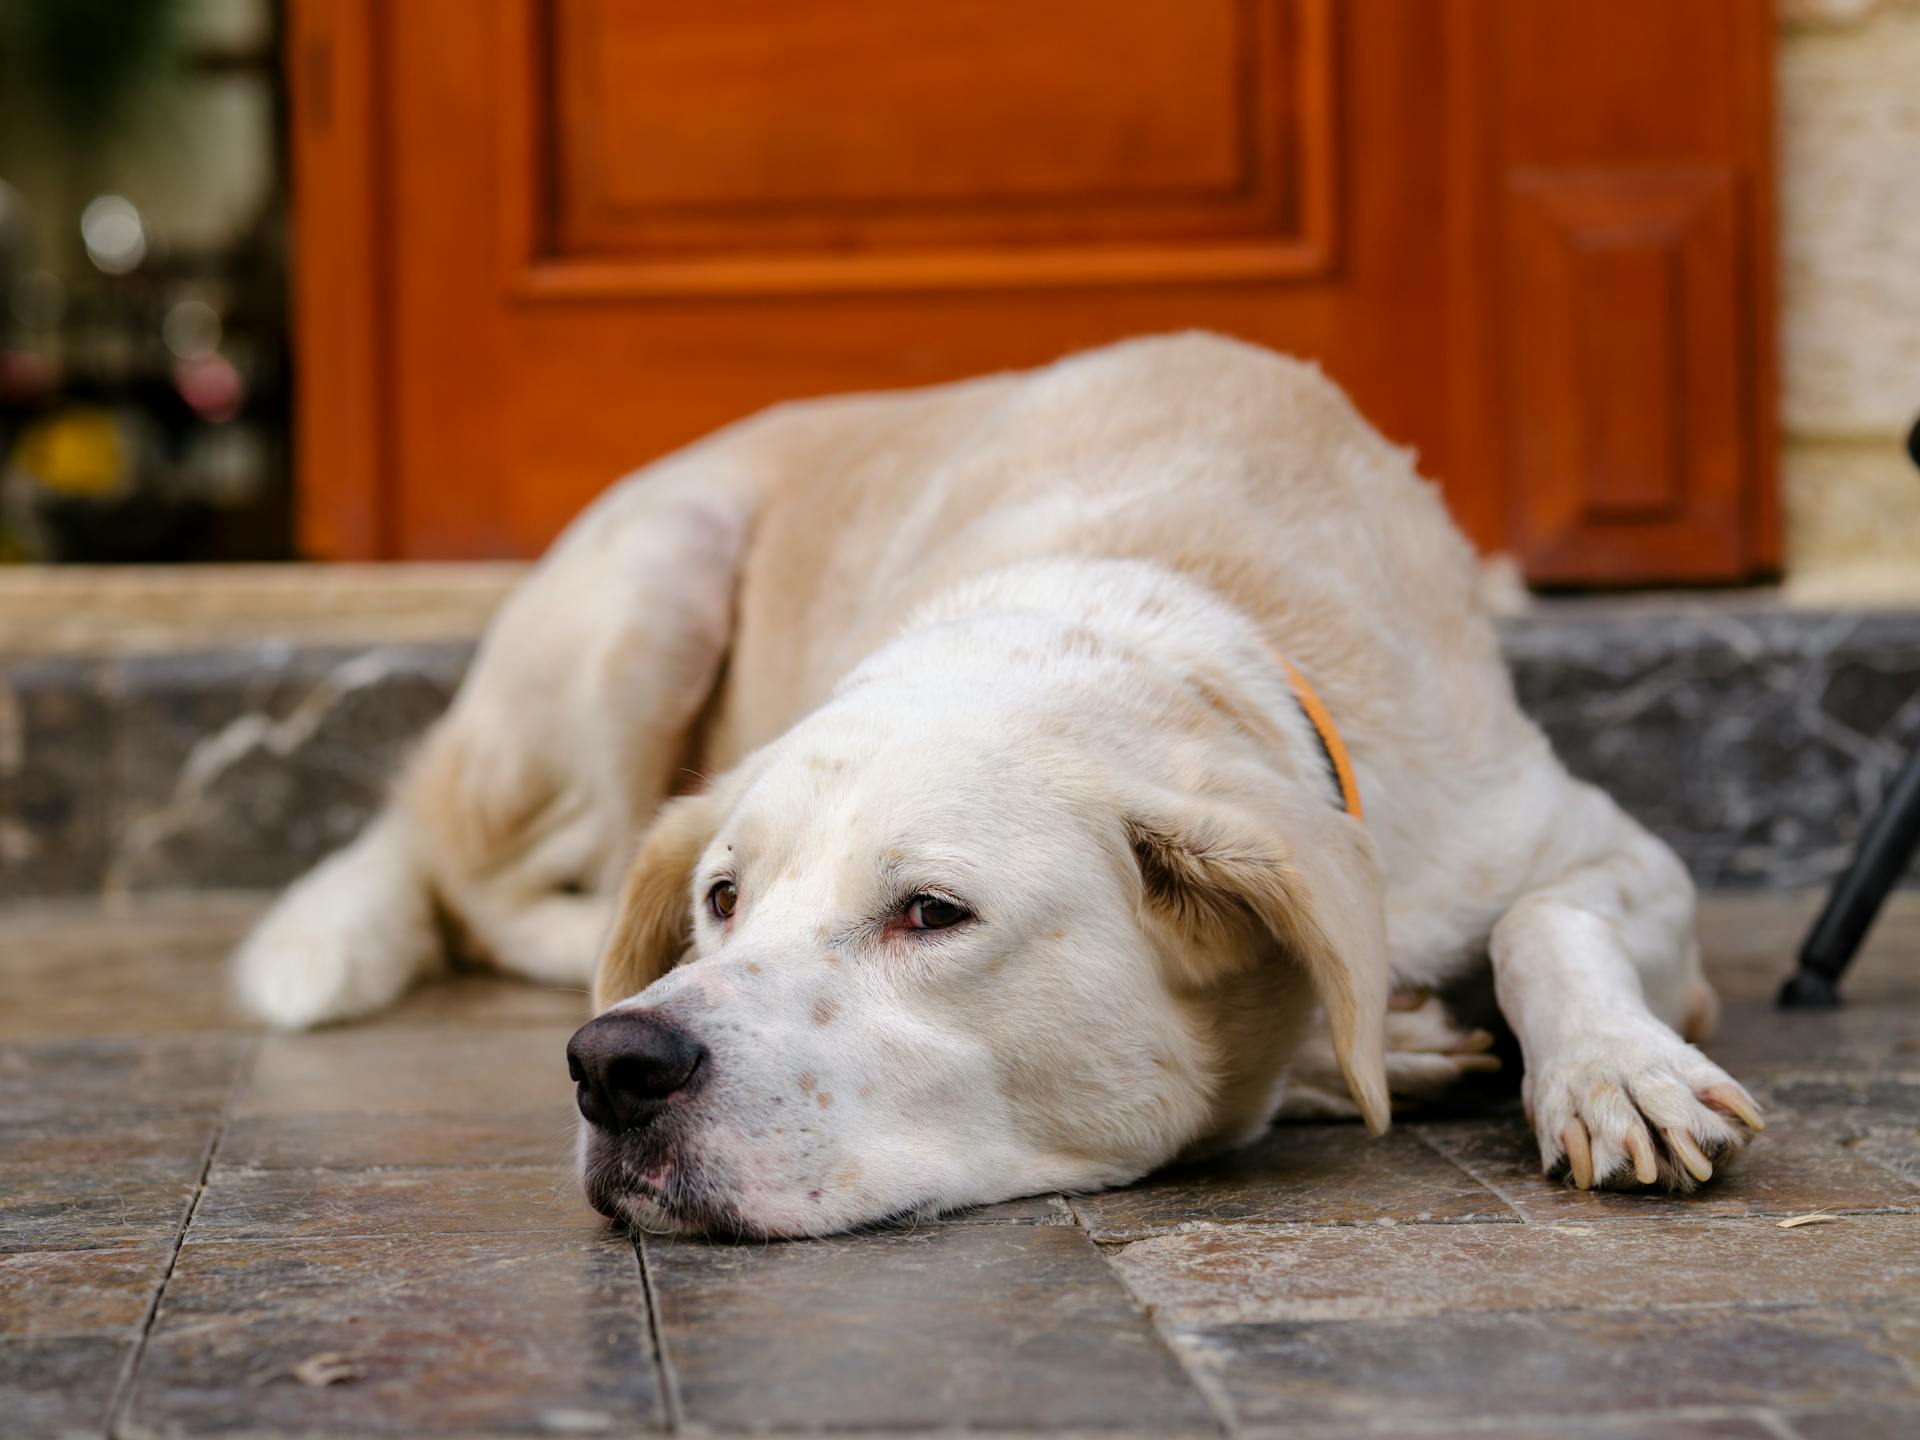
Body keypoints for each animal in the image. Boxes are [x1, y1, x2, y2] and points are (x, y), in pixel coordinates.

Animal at [232, 332, 1758, 1236]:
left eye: (931, 913)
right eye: (724, 900)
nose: (615, 1067)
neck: (1147, 603)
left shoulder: (1577, 841)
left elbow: (1545, 920)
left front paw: (1616, 1070)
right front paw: (1385, 1049)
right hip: (654, 577)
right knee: (496, 889)